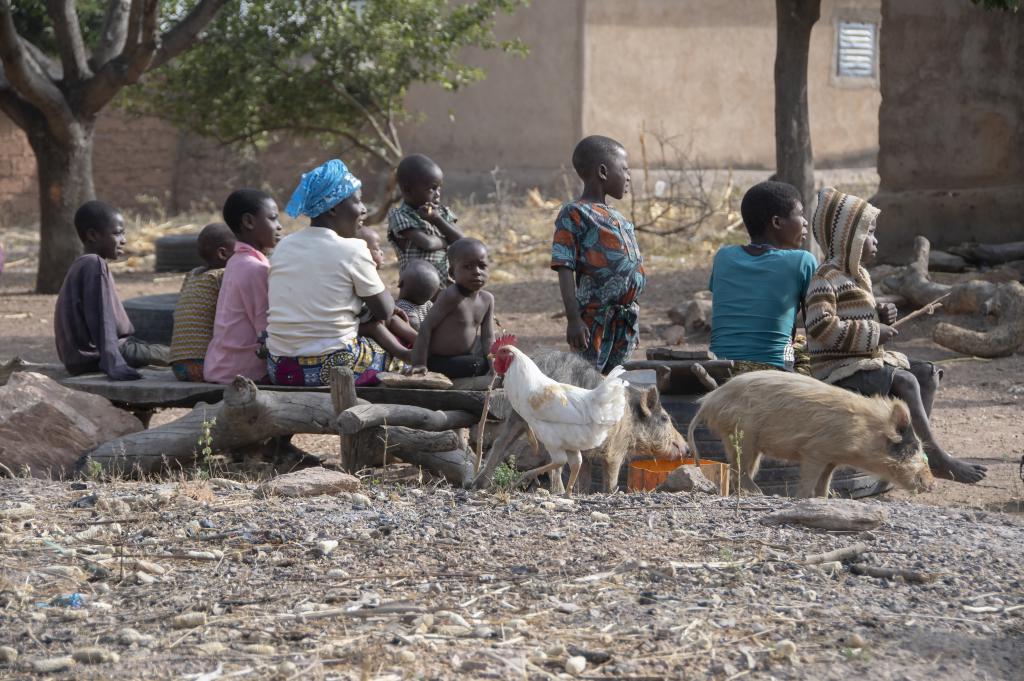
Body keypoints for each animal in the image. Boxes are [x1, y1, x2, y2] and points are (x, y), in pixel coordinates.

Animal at [473, 352, 688, 491]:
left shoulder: (585, 452)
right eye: (665, 418)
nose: (687, 448)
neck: (630, 419)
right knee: (552, 462)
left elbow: (584, 477)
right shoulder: (616, 450)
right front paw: (609, 492)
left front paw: (580, 492)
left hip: (518, 416)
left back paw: (478, 485)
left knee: (500, 443)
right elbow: (610, 480)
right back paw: (557, 491)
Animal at [688, 368, 937, 497]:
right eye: (914, 448)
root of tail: (708, 402)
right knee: (738, 469)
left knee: (739, 469)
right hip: (743, 434)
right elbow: (808, 480)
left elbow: (824, 484)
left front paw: (824, 498)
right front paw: (803, 498)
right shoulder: (814, 452)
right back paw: (761, 494)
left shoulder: (831, 460)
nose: (933, 483)